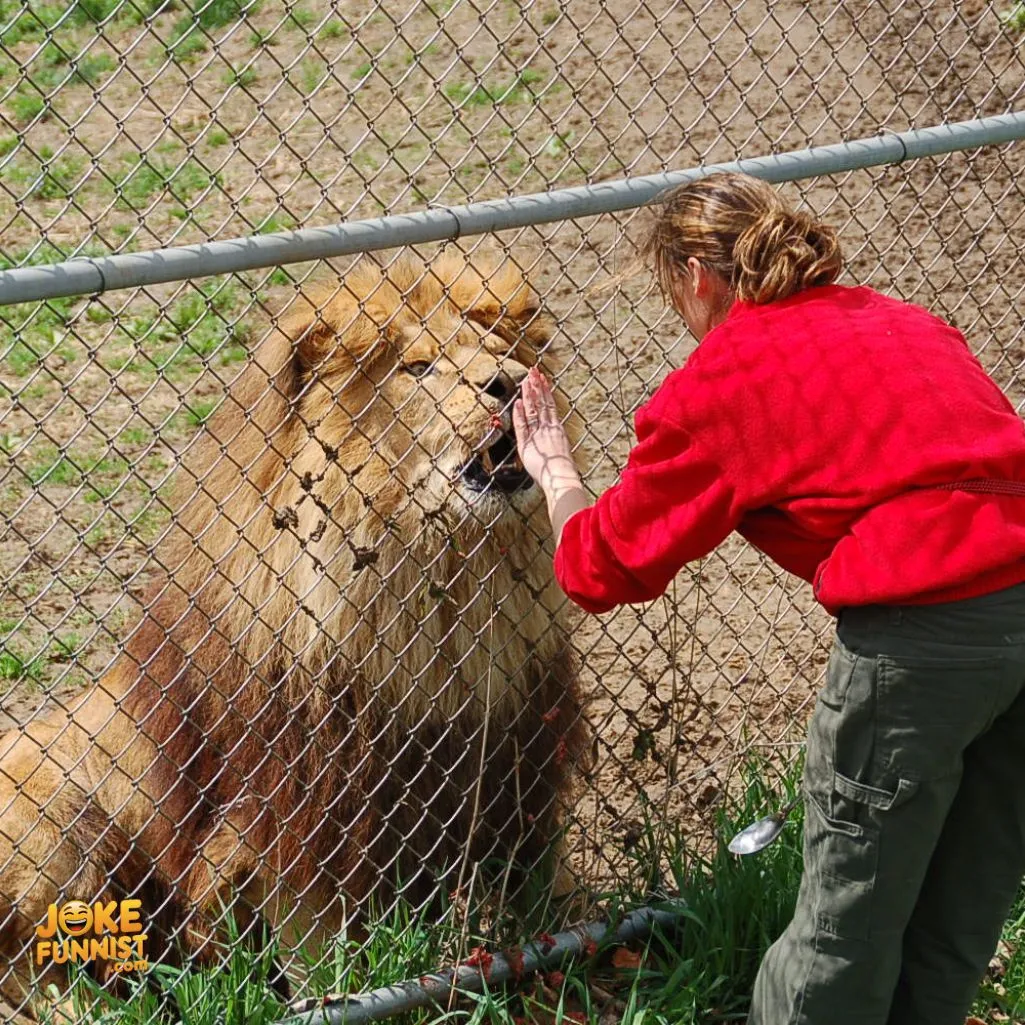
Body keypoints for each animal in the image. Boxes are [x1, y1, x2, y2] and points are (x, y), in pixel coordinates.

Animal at [0, 250, 590, 1016]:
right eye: (418, 367)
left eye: (502, 349)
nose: (511, 382)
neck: (444, 595)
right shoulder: (294, 819)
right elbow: (319, 947)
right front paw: (338, 998)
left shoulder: (516, 761)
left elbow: (545, 890)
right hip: (48, 811)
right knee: (47, 981)